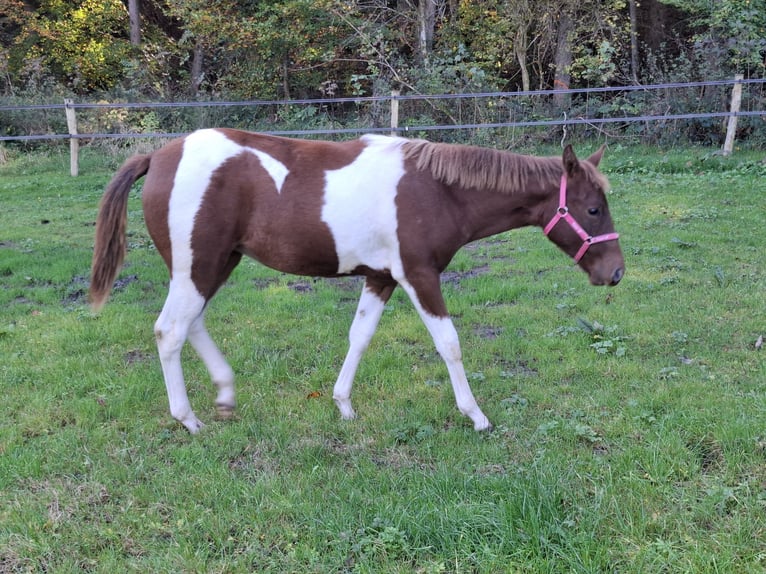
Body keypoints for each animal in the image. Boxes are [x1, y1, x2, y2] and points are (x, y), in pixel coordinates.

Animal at [91, 129, 624, 436]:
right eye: (593, 209)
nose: (615, 272)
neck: (438, 191)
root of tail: (158, 157)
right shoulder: (419, 275)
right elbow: (449, 344)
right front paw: (476, 416)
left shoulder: (381, 278)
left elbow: (360, 337)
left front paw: (343, 405)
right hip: (199, 266)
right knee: (169, 331)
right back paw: (189, 419)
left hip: (214, 264)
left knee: (190, 324)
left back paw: (224, 393)